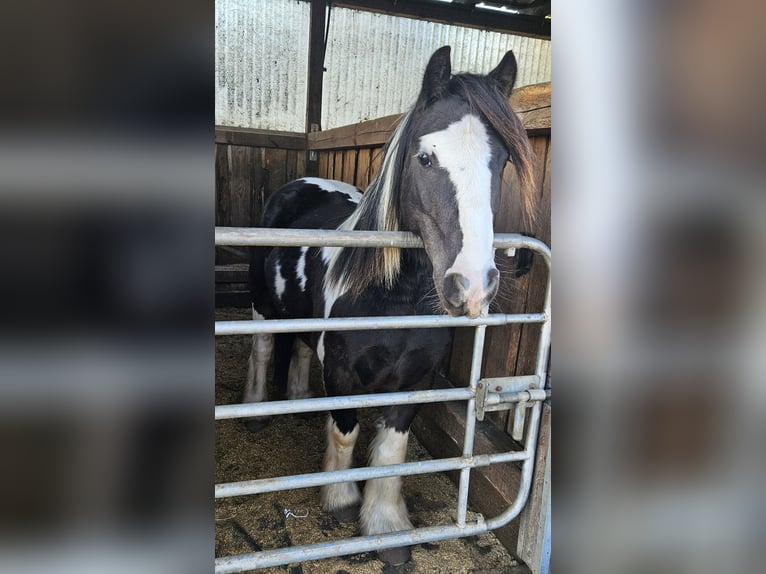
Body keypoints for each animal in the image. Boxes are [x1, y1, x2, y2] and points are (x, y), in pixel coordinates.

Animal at [243, 46, 534, 566]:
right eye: (425, 158)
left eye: (500, 162)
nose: (471, 286)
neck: (392, 298)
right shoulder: (342, 376)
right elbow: (346, 433)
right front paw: (341, 500)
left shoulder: (414, 381)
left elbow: (390, 453)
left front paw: (386, 528)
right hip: (261, 309)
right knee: (262, 350)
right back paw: (256, 410)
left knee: (300, 351)